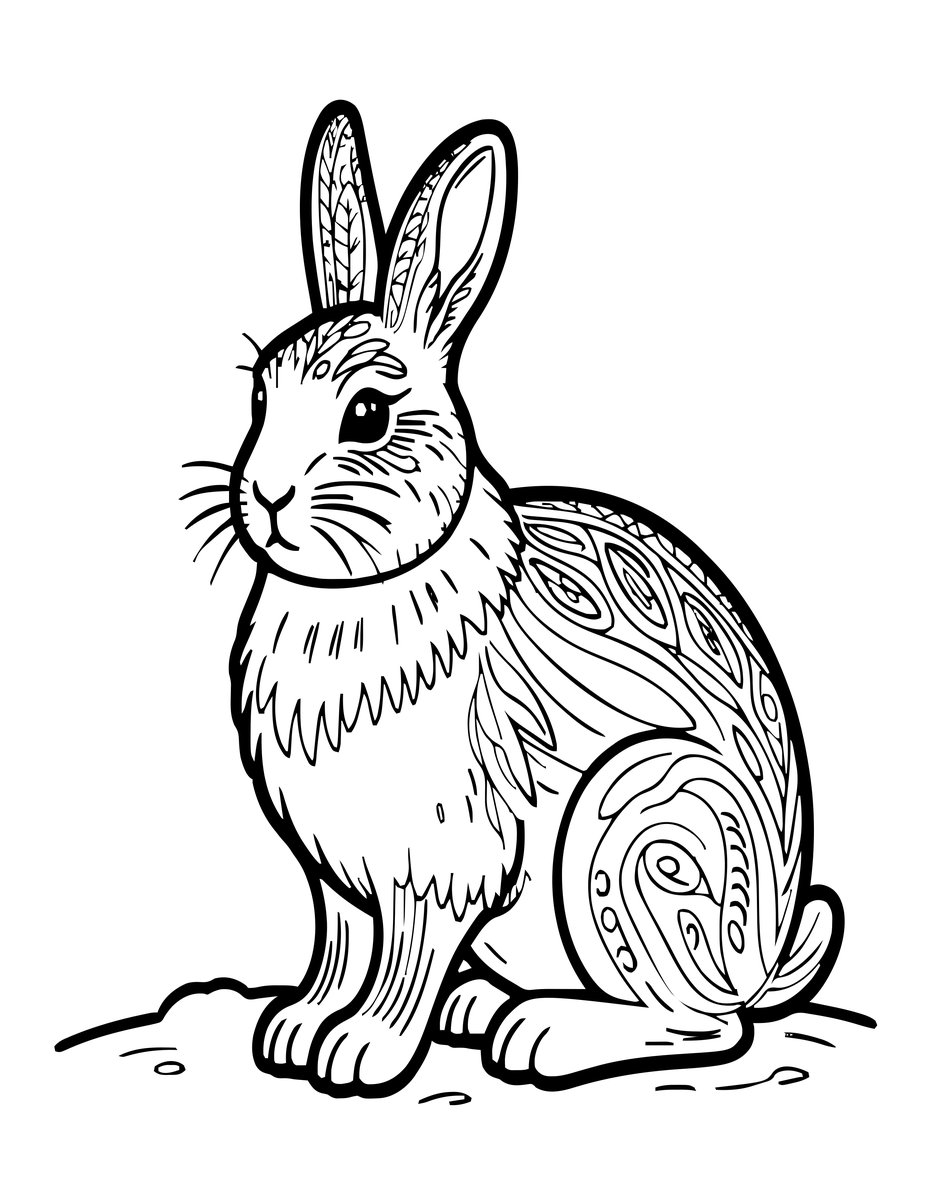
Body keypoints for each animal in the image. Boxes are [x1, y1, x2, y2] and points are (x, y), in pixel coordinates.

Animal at [195, 100, 843, 1096]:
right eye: (261, 393)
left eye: (367, 416)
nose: (264, 496)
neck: (371, 583)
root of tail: (764, 951)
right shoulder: (336, 876)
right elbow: (338, 950)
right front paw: (296, 1031)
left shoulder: (439, 859)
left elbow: (403, 959)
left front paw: (363, 1050)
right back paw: (478, 1010)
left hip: (647, 833)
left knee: (706, 1024)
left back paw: (540, 1034)